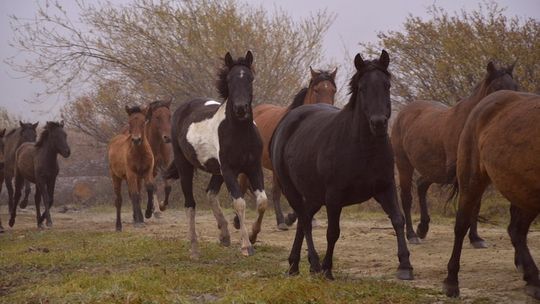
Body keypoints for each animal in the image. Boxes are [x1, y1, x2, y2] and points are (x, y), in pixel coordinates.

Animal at [163, 51, 266, 258]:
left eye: (250, 78)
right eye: (229, 79)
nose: (241, 109)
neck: (240, 133)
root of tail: (182, 108)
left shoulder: (253, 167)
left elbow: (262, 202)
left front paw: (251, 236)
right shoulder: (229, 170)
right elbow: (240, 203)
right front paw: (246, 246)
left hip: (217, 172)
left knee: (210, 193)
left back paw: (224, 235)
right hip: (186, 166)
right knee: (190, 204)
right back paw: (194, 249)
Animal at [270, 50, 414, 280]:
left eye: (387, 86)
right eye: (362, 88)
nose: (379, 123)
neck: (363, 148)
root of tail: (287, 121)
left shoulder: (386, 187)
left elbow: (398, 220)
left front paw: (405, 266)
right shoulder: (334, 196)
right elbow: (333, 232)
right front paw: (327, 268)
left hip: (313, 195)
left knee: (303, 220)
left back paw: (294, 264)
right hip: (291, 189)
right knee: (304, 220)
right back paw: (314, 263)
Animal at [392, 60, 520, 246]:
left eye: (515, 86)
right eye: (497, 87)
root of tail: (403, 113)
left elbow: (476, 205)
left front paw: (476, 238)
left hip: (435, 170)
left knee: (422, 185)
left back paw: (423, 228)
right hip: (404, 164)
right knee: (407, 197)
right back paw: (412, 235)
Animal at [442, 89, 540, 300]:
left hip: (524, 192)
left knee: (517, 230)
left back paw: (532, 279)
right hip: (472, 181)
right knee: (461, 226)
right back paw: (451, 282)